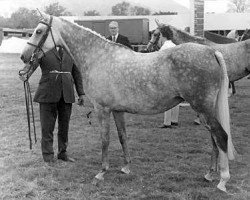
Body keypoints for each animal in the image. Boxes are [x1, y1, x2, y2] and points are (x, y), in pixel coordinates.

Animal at [20, 14, 236, 192]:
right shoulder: (117, 110)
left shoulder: (102, 109)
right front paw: (126, 167)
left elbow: (105, 140)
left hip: (203, 108)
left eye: (39, 31)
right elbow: (122, 136)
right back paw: (209, 174)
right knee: (214, 139)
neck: (99, 57)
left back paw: (223, 180)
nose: (24, 56)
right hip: (205, 110)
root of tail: (212, 52)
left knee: (221, 136)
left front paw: (101, 173)